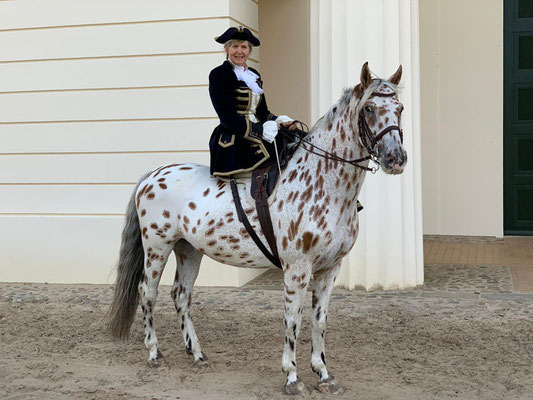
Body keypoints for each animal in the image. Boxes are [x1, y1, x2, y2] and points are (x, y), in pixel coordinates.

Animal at [108, 62, 408, 394]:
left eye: (400, 108)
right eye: (368, 108)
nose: (396, 159)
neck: (323, 184)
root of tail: (154, 173)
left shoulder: (330, 269)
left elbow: (320, 321)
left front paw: (323, 373)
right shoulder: (297, 269)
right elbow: (293, 319)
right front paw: (292, 376)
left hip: (189, 250)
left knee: (181, 295)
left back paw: (197, 354)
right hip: (157, 247)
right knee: (147, 293)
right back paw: (154, 354)